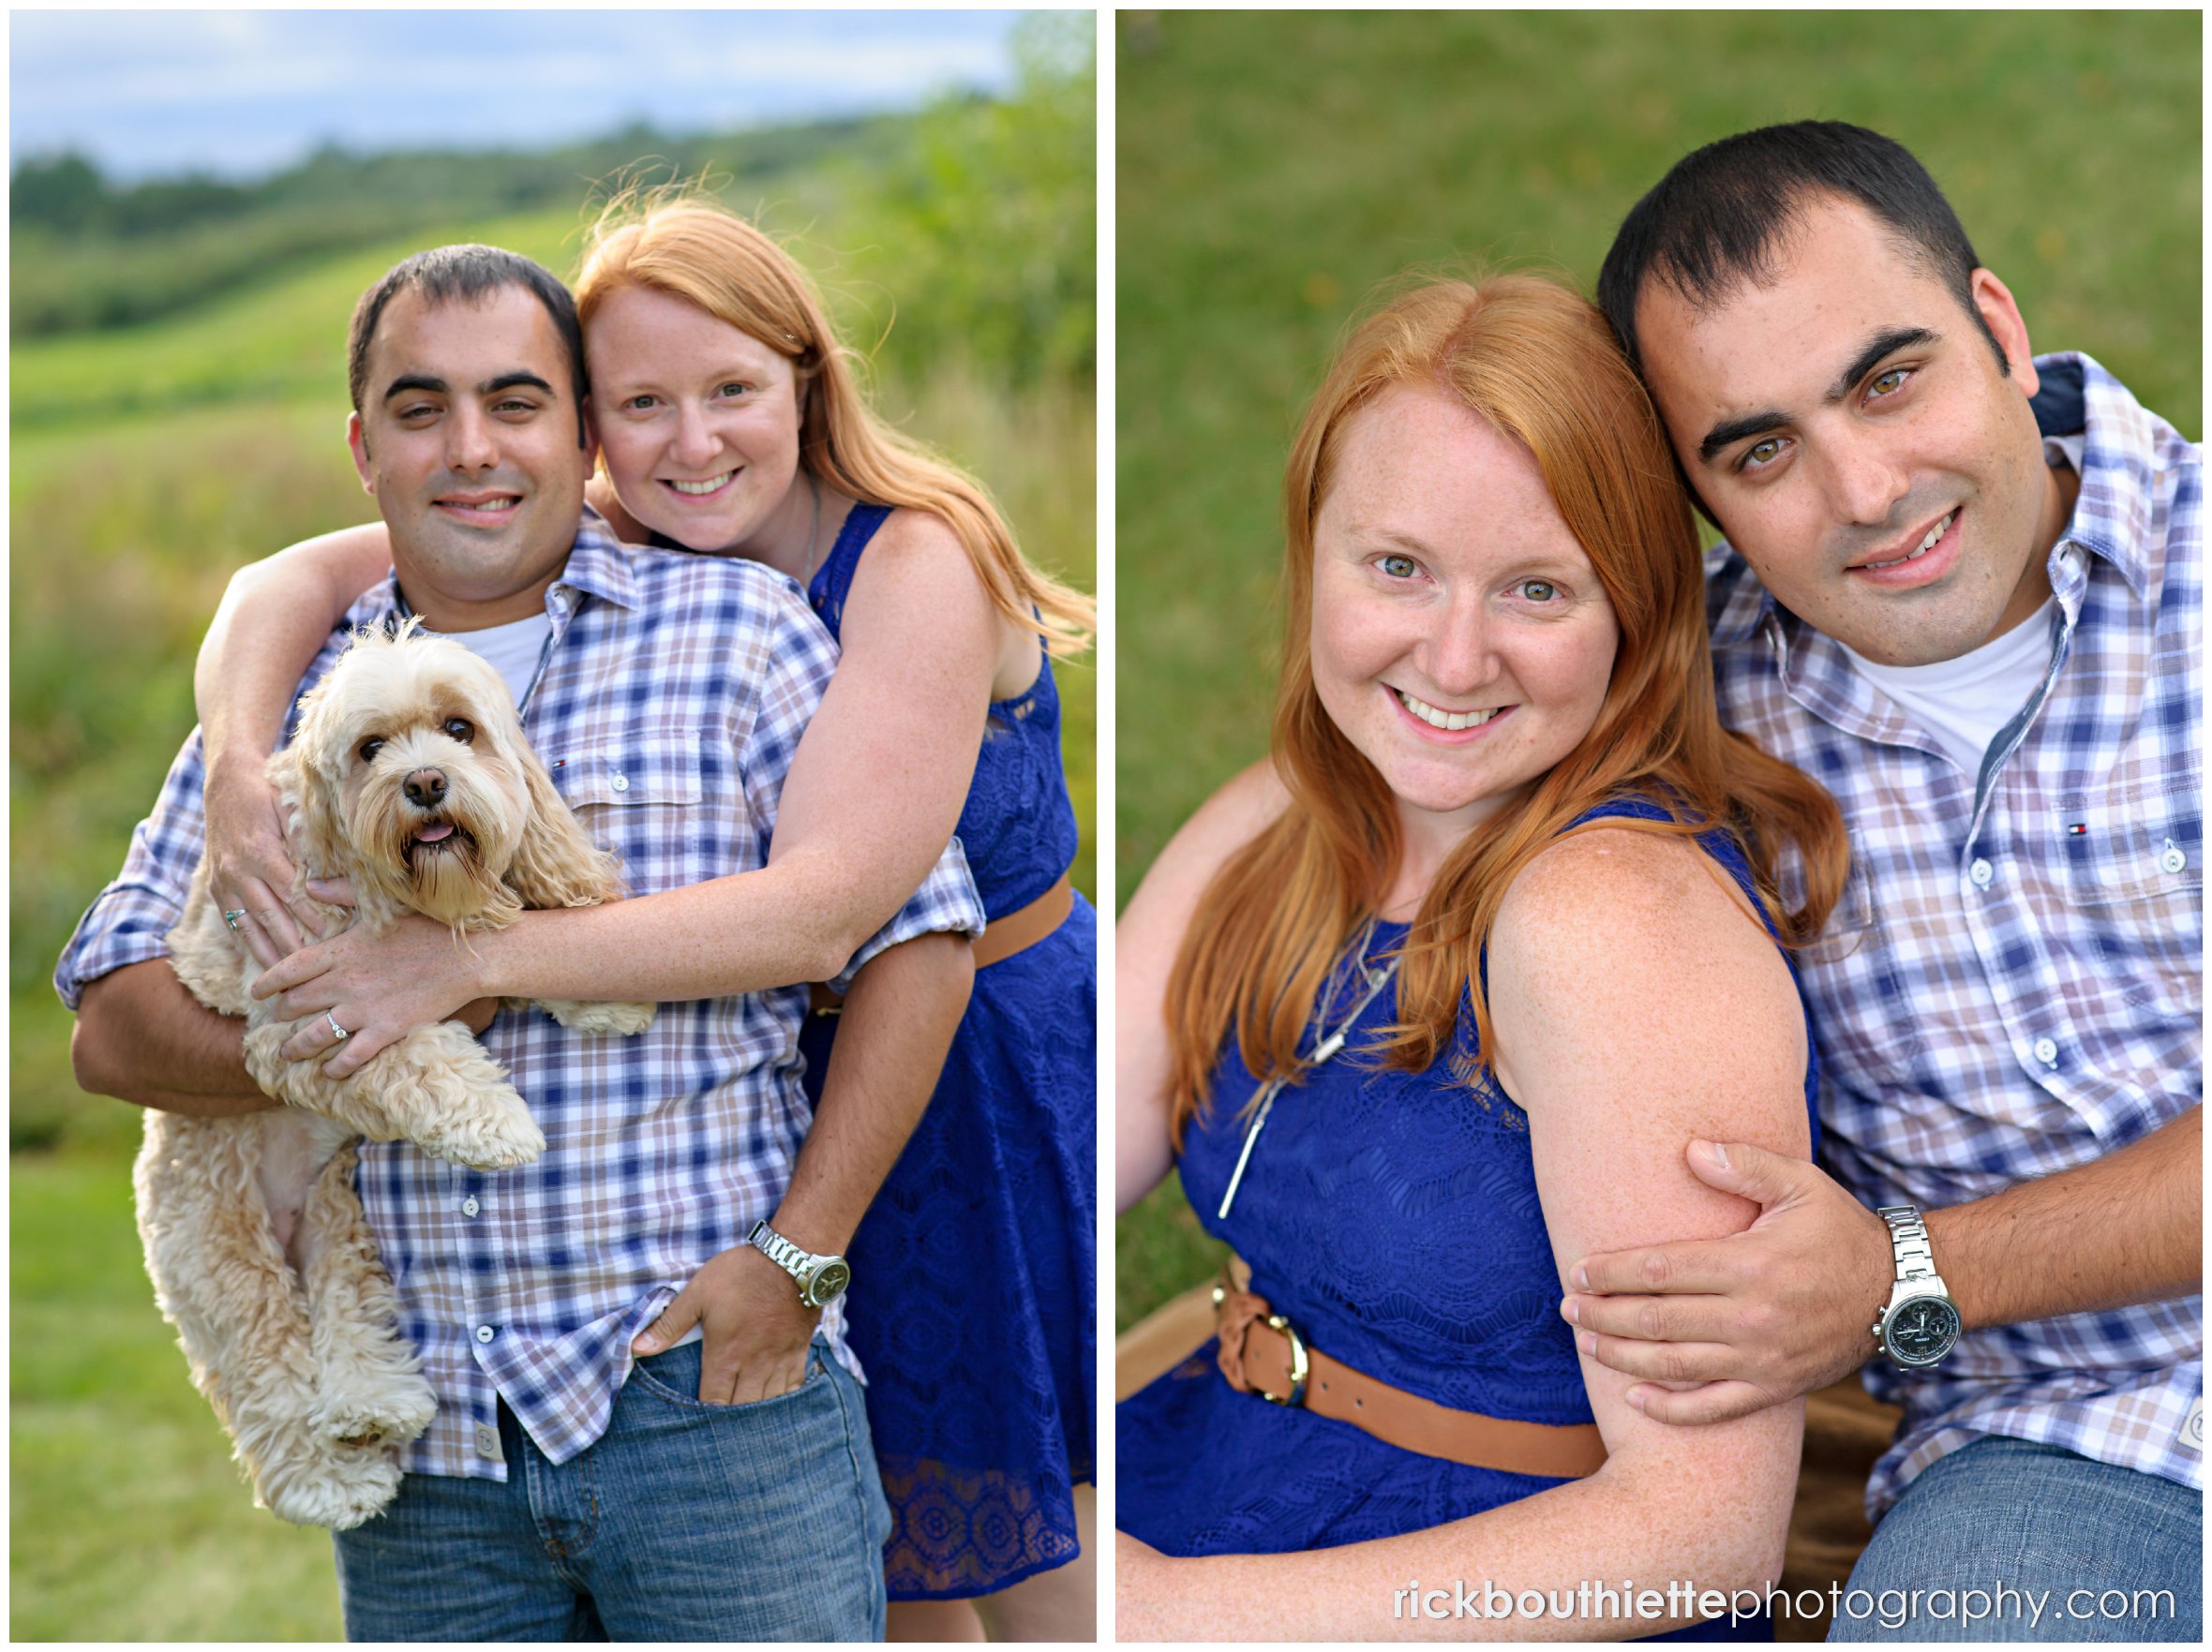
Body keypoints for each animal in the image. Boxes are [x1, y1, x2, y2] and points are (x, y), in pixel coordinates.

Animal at [142, 628, 646, 1530]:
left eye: (459, 729)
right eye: (371, 748)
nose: (425, 782)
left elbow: (523, 940)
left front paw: (605, 991)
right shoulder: (297, 1021)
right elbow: (416, 1049)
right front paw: (499, 1123)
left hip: (340, 1213)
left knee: (346, 1311)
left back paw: (374, 1407)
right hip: (220, 1251)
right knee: (269, 1368)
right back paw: (331, 1479)